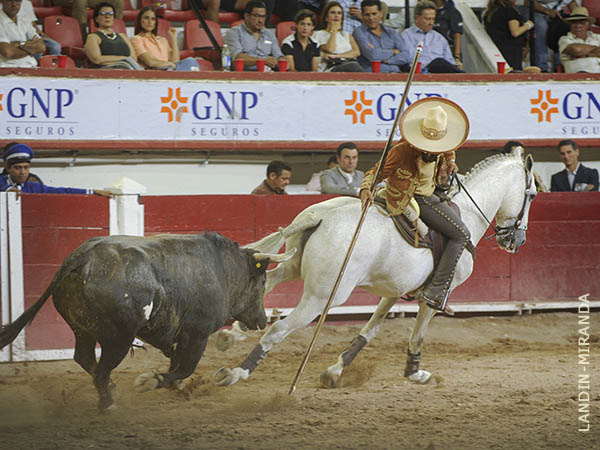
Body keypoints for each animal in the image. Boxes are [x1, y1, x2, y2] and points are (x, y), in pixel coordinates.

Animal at [0, 232, 290, 412]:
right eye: (262, 281)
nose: (262, 320)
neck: (223, 269)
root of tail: (84, 254)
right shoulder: (198, 334)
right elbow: (185, 367)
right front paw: (153, 381)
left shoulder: (169, 333)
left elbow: (176, 361)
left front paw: (175, 386)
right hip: (119, 337)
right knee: (102, 369)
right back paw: (108, 403)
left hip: (83, 329)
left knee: (85, 358)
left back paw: (111, 390)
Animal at [214, 151, 536, 386]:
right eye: (532, 194)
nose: (517, 240)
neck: (469, 213)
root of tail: (319, 217)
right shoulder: (432, 297)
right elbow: (417, 334)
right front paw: (414, 372)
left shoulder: (395, 290)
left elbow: (372, 330)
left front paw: (335, 370)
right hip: (323, 296)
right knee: (278, 329)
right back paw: (235, 372)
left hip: (293, 267)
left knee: (266, 283)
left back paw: (230, 335)